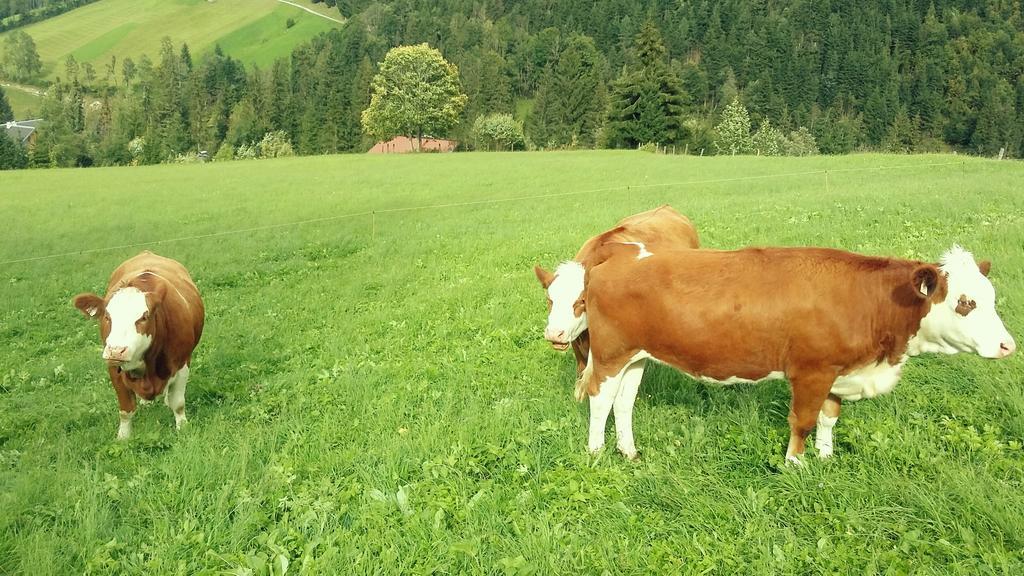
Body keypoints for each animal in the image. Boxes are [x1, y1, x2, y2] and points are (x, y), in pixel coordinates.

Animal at [72, 249, 205, 436]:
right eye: (107, 316)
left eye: (143, 317)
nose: (116, 350)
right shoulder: (114, 369)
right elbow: (125, 410)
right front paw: (124, 436)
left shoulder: (182, 364)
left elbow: (178, 403)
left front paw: (183, 427)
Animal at [581, 241, 1011, 461]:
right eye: (966, 302)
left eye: (990, 298)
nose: (1008, 345)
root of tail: (621, 254)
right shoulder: (812, 371)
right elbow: (802, 421)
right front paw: (795, 463)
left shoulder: (838, 371)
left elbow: (829, 418)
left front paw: (825, 456)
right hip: (610, 355)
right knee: (600, 400)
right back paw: (596, 451)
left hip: (637, 357)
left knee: (623, 403)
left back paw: (629, 451)